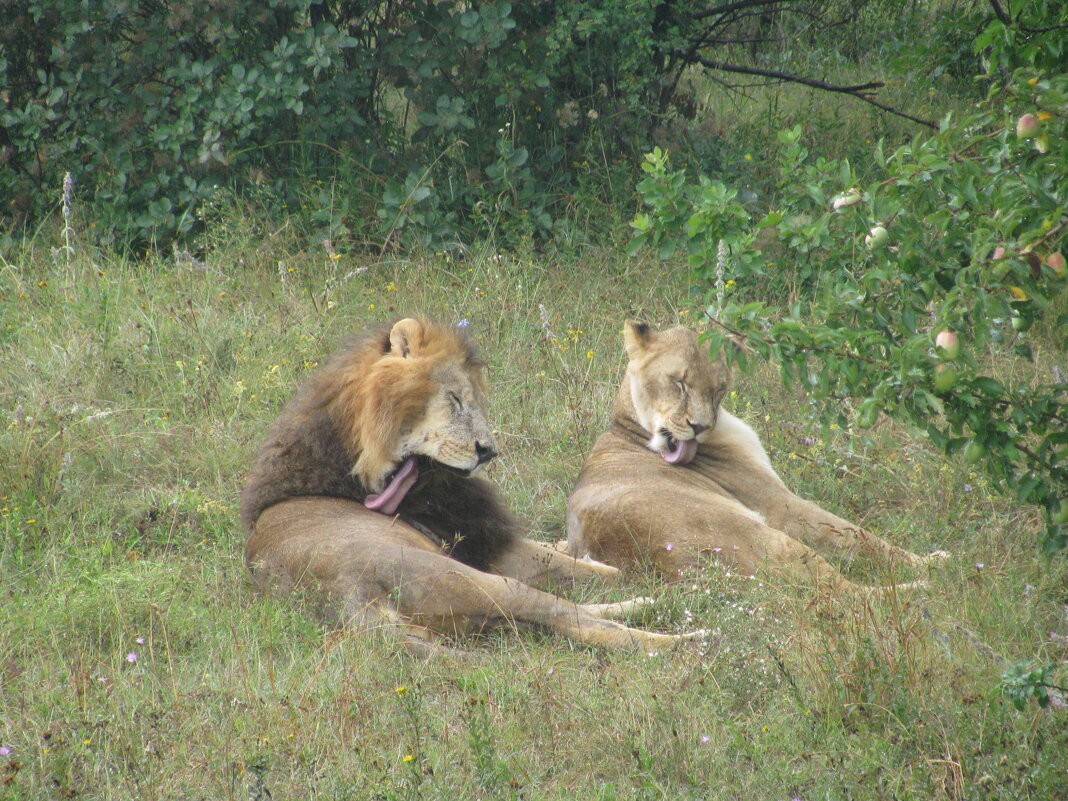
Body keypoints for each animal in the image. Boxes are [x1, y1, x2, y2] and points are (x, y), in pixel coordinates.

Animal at [242, 318, 687, 653]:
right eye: (455, 399)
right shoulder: (488, 546)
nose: (488, 451)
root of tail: (340, 596)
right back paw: (683, 639)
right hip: (474, 582)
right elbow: (600, 571)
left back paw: (648, 604)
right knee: (578, 618)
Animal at [563, 322, 948, 598]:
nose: (699, 426)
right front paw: (925, 561)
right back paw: (929, 586)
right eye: (679, 383)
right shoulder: (778, 505)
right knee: (846, 593)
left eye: (718, 388)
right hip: (774, 539)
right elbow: (862, 537)